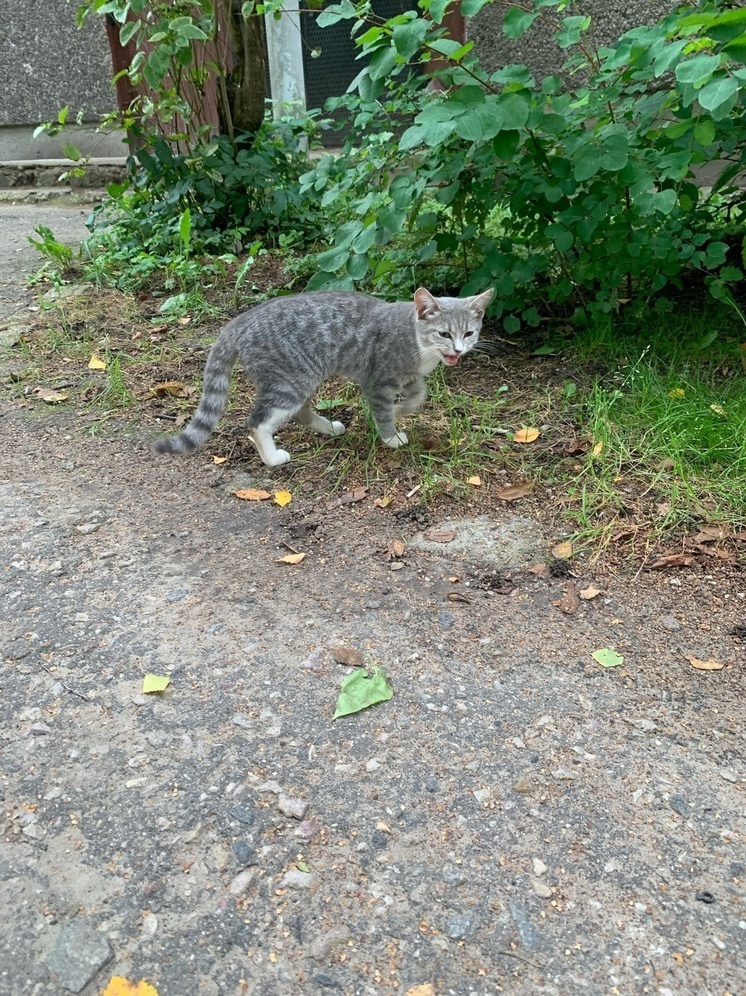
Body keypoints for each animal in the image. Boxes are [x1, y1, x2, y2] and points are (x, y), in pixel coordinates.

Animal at [152, 284, 492, 462]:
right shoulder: (377, 380)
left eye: (469, 333)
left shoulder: (411, 377)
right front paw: (391, 436)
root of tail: (241, 320)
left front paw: (402, 408)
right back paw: (273, 457)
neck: (417, 341)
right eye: (444, 334)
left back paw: (330, 428)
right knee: (259, 421)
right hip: (291, 379)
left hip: (304, 377)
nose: (459, 349)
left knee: (301, 412)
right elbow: (383, 411)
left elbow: (419, 394)